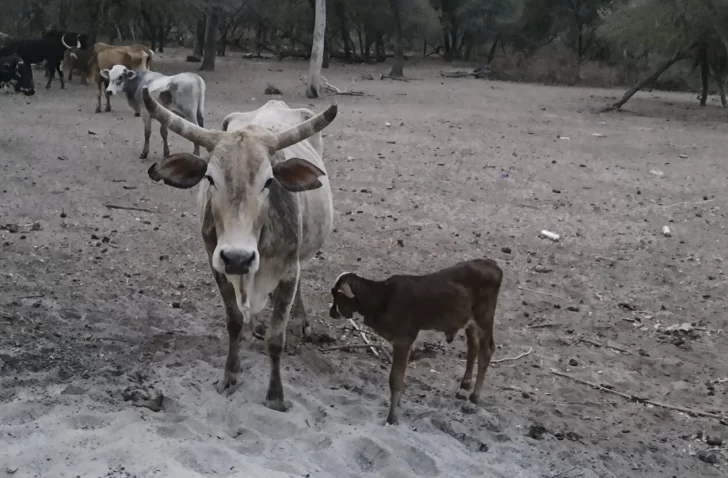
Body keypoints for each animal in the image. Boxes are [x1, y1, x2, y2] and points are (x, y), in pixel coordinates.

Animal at [328, 260, 504, 424]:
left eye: (336, 294)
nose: (331, 313)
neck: (383, 298)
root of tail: (491, 263)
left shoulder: (402, 340)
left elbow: (395, 380)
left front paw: (392, 418)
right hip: (470, 322)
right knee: (473, 347)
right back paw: (464, 388)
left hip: (484, 318)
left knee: (487, 350)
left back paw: (474, 397)